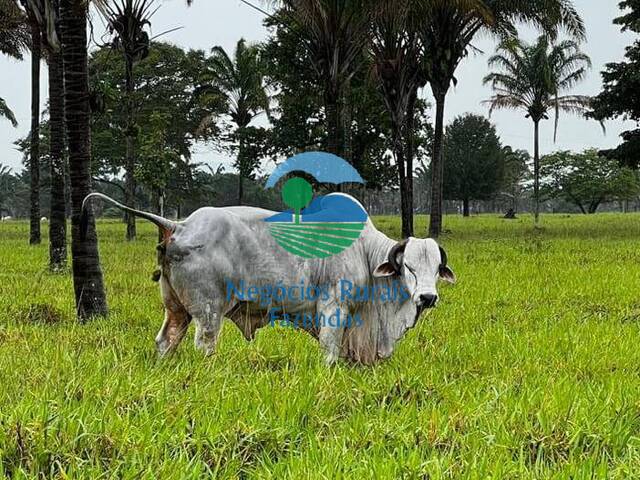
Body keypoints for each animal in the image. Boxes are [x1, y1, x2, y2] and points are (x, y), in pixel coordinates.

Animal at [82, 191, 456, 364]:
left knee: (166, 341)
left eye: (436, 268)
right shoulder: (333, 307)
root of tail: (180, 225)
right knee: (205, 344)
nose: (427, 297)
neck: (364, 251)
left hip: (176, 309)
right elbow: (330, 350)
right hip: (207, 312)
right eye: (408, 267)